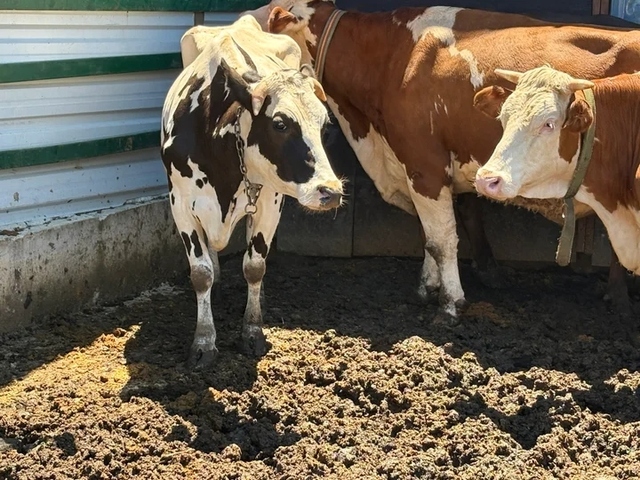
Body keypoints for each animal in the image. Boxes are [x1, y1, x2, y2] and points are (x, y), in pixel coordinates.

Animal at [161, 15, 343, 369]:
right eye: (280, 124)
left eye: (325, 126)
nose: (330, 191)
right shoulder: (181, 202)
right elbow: (200, 272)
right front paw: (204, 341)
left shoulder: (270, 202)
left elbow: (254, 266)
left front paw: (252, 330)